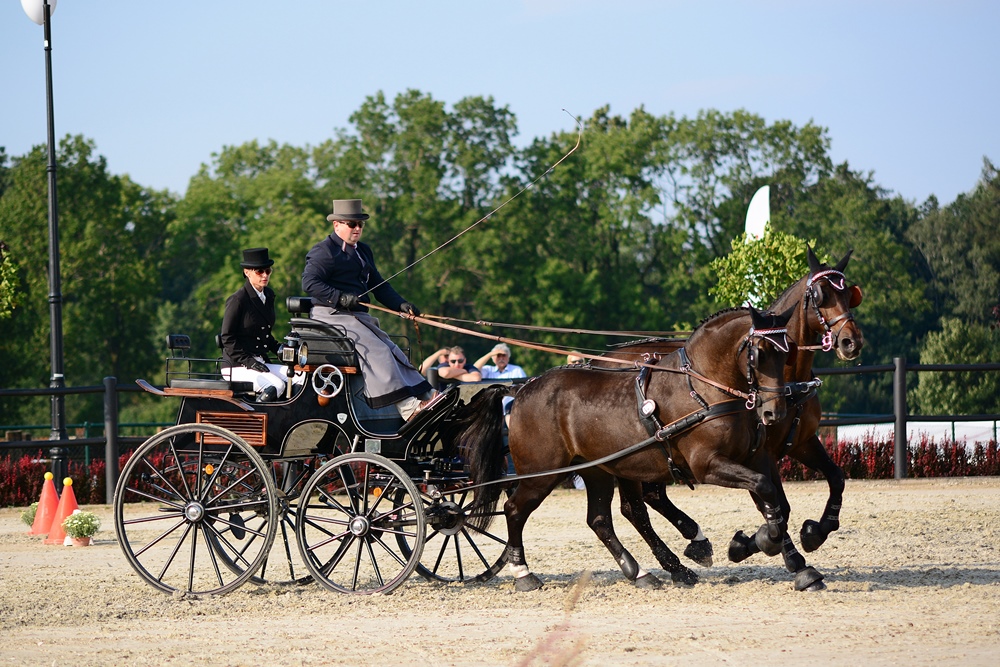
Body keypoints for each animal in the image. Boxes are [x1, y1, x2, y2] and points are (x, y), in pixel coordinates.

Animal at [460, 306, 796, 592]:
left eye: (788, 352)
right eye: (760, 353)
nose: (775, 412)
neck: (702, 389)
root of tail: (521, 388)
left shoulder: (754, 457)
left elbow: (771, 496)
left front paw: (776, 547)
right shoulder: (707, 465)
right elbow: (764, 488)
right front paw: (766, 541)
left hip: (596, 471)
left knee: (600, 520)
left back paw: (641, 572)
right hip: (542, 474)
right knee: (514, 510)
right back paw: (524, 574)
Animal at [596, 248, 864, 592]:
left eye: (849, 294)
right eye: (820, 295)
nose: (851, 341)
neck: (789, 380)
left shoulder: (801, 442)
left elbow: (836, 478)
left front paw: (814, 532)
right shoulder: (759, 452)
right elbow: (777, 505)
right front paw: (784, 558)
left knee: (649, 499)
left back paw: (691, 544)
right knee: (635, 508)